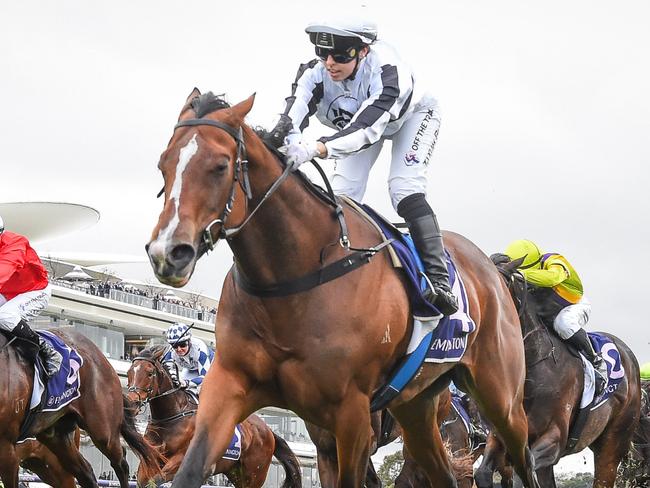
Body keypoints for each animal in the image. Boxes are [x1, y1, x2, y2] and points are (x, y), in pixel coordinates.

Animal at [126, 346, 302, 486]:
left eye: (149, 373)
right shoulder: (152, 458)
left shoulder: (182, 459)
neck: (172, 417)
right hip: (235, 473)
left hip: (253, 476)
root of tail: (269, 432)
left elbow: (155, 481)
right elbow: (143, 480)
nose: (132, 402)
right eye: (129, 372)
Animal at [144, 89, 540, 486]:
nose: (168, 253)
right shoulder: (232, 386)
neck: (291, 278)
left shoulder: (352, 415)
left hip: (501, 398)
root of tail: (491, 270)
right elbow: (190, 469)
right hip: (417, 406)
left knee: (524, 458)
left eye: (221, 166)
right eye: (163, 165)